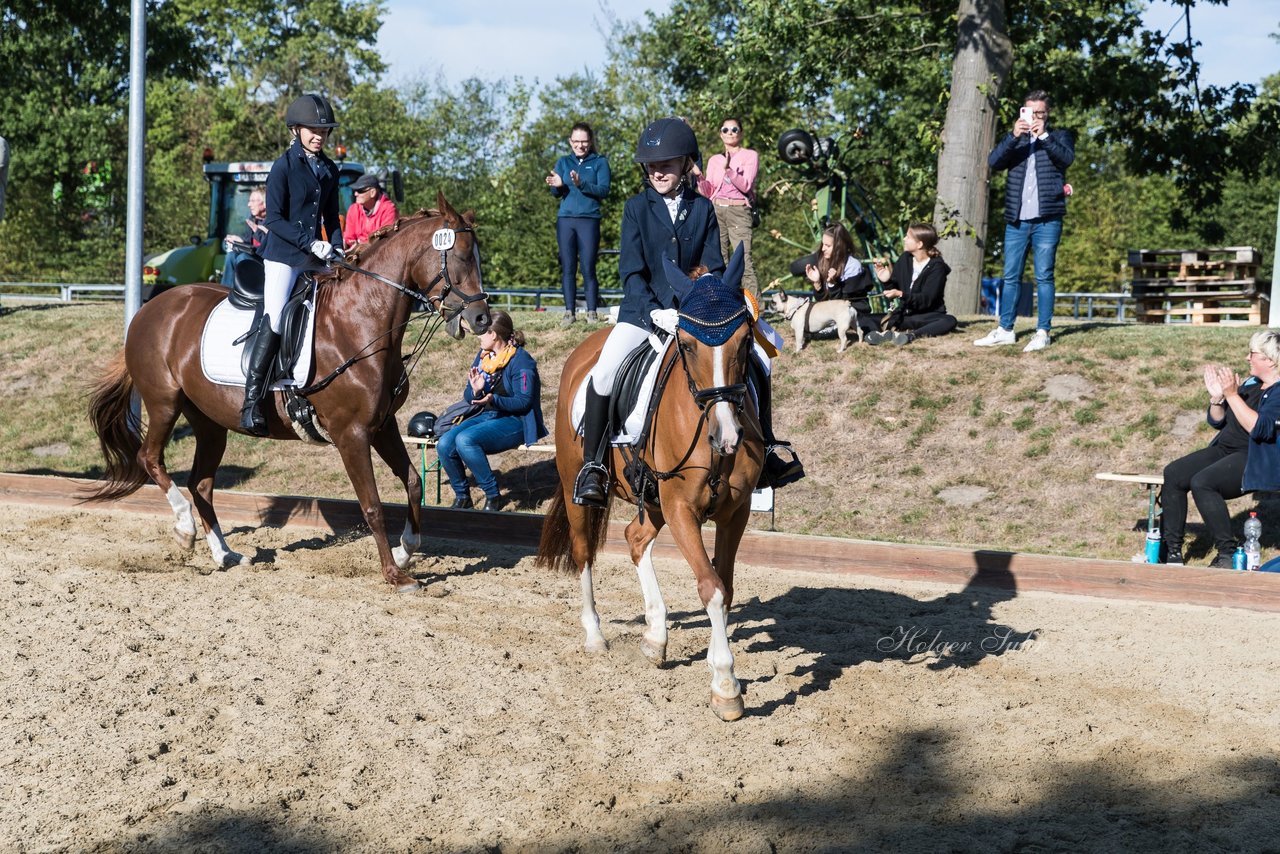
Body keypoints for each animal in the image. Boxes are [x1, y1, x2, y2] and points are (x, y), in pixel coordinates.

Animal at [85, 193, 491, 594]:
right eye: (459, 257)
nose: (482, 319)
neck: (360, 322)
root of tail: (149, 308)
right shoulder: (351, 434)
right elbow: (372, 504)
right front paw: (395, 575)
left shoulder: (382, 424)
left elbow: (412, 482)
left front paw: (406, 551)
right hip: (164, 403)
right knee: (150, 458)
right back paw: (185, 529)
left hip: (209, 422)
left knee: (201, 483)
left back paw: (225, 555)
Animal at [537, 247, 762, 722]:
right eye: (688, 344)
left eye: (745, 341)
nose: (728, 435)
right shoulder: (681, 509)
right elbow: (711, 588)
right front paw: (726, 685)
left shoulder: (734, 511)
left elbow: (726, 586)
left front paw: (713, 668)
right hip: (579, 486)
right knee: (584, 552)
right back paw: (595, 636)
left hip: (653, 499)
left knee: (635, 538)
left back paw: (656, 636)